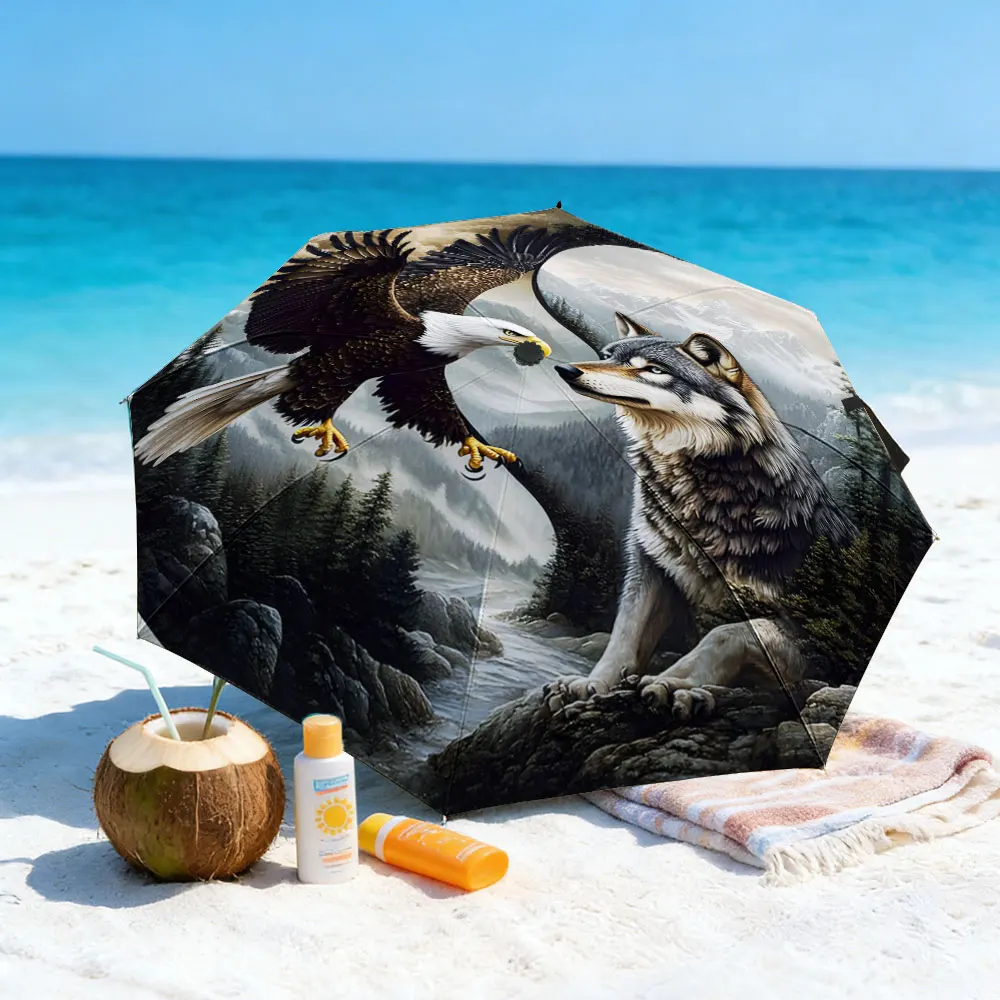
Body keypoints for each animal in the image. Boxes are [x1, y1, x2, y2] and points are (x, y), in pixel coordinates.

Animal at [546, 313, 856, 719]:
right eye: (608, 357)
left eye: (653, 370)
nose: (565, 369)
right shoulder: (650, 568)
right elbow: (624, 634)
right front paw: (592, 684)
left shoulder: (815, 640)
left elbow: (726, 633)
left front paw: (672, 683)